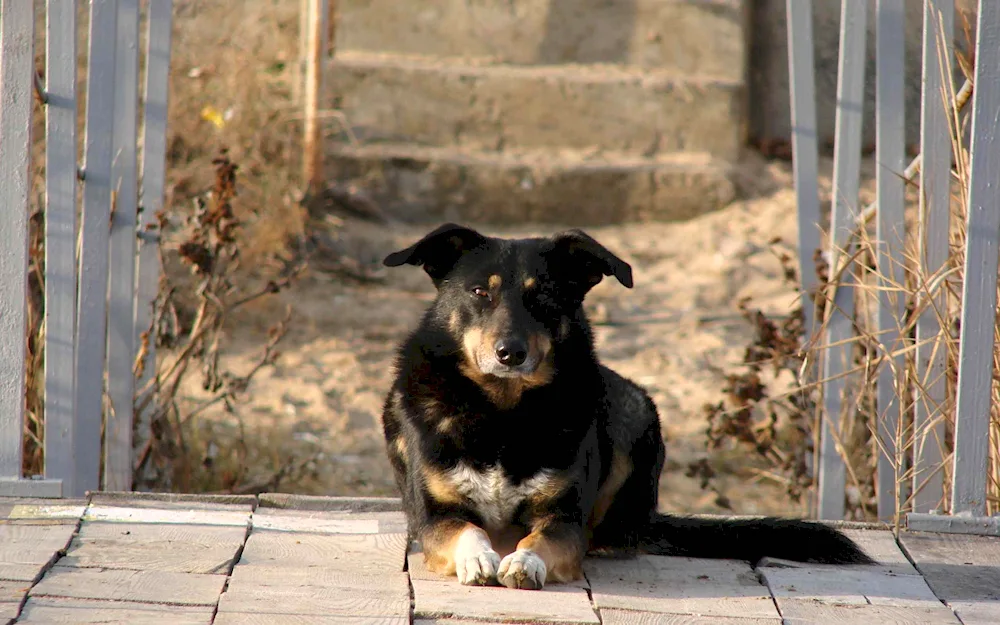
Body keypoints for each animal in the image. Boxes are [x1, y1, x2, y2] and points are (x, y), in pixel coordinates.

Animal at [378, 223, 872, 588]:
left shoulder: (566, 518)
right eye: (481, 292)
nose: (510, 353)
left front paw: (524, 561)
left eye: (545, 297)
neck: (504, 413)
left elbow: (544, 539)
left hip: (635, 412)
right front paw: (479, 557)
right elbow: (466, 528)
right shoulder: (431, 518)